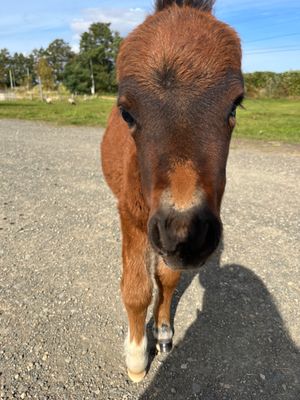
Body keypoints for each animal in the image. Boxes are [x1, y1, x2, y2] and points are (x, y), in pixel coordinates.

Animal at [101, 0, 244, 382]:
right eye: (126, 112)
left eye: (236, 104)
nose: (185, 234)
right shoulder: (131, 215)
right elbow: (136, 288)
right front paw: (137, 357)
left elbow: (167, 277)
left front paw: (163, 331)